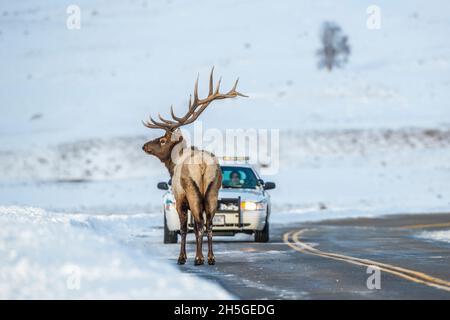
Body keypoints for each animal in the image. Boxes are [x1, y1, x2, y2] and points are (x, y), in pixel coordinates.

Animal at [142, 68, 246, 264]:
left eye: (162, 140)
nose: (144, 146)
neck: (174, 163)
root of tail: (204, 166)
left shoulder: (180, 200)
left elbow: (184, 228)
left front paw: (182, 257)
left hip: (192, 191)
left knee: (199, 223)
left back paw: (198, 258)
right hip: (212, 192)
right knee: (209, 224)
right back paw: (211, 257)